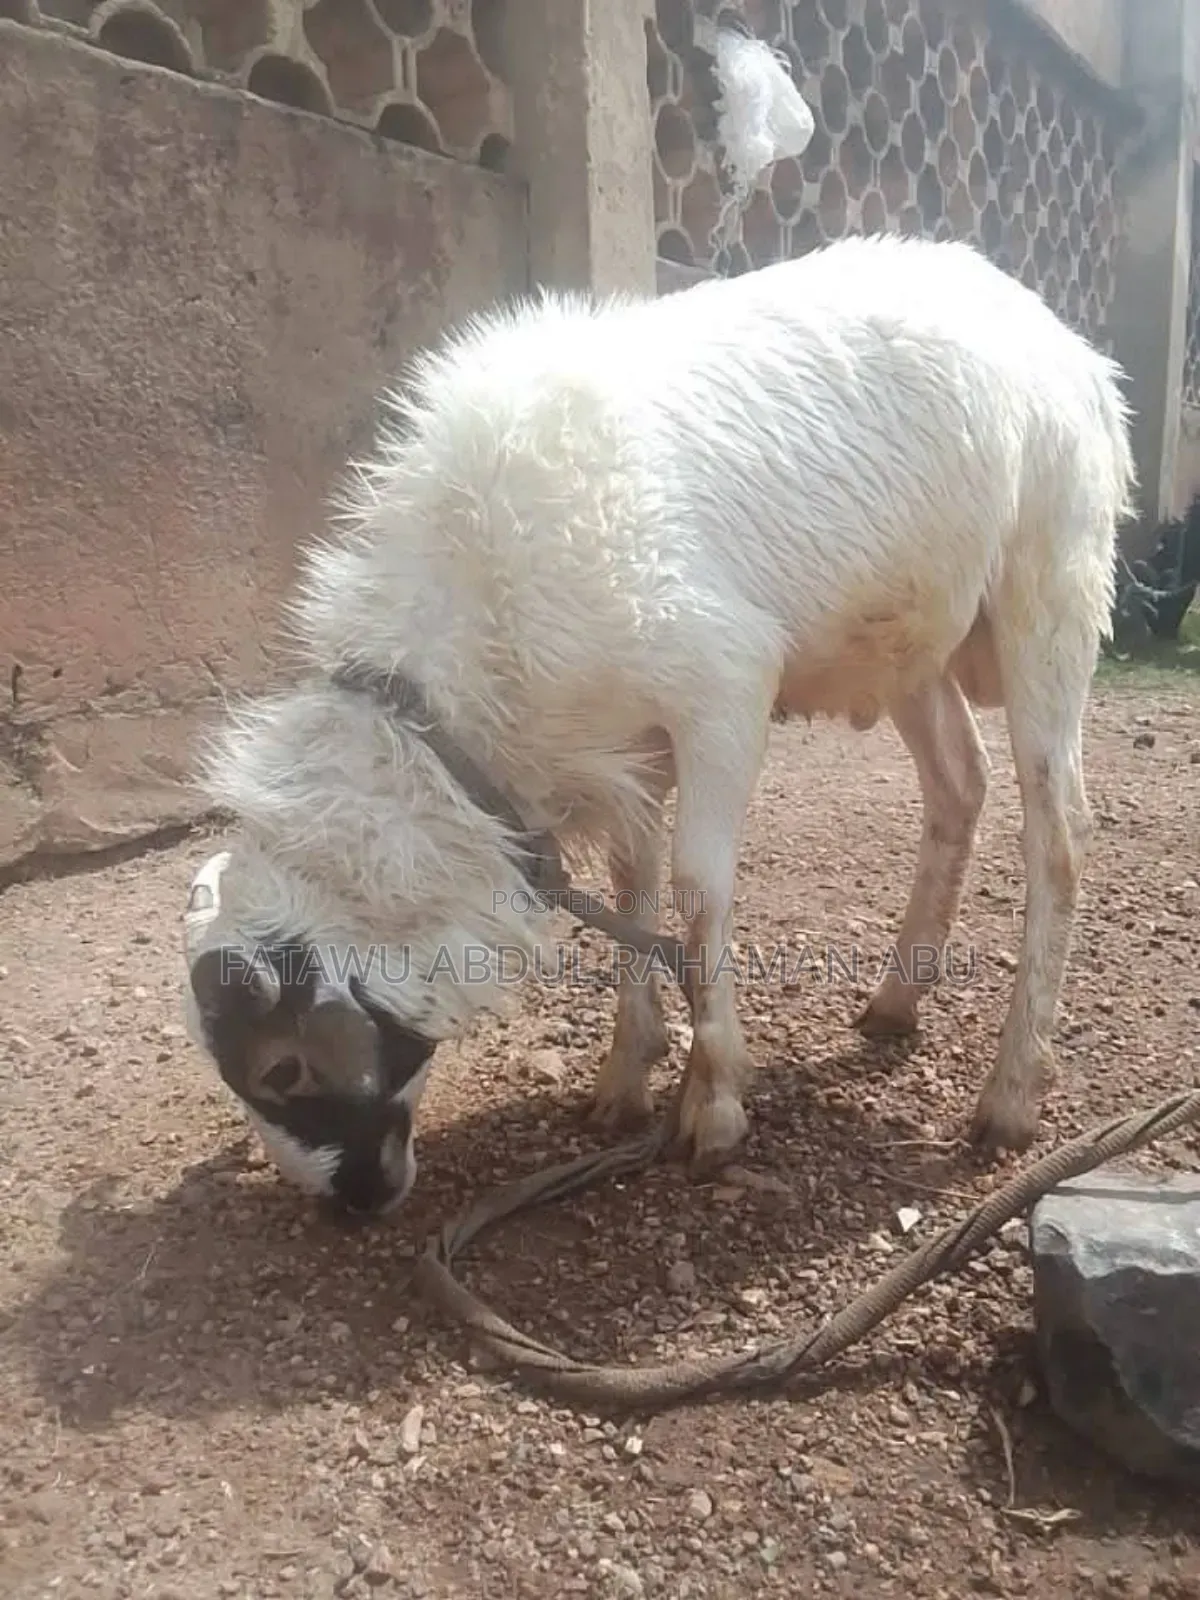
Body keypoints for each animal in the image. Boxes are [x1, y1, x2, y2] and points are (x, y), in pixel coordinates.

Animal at [185, 232, 1136, 1216]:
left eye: (283, 1070)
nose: (353, 1209)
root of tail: (1074, 348)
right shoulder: (627, 741)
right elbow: (632, 880)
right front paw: (628, 1079)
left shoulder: (724, 685)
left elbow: (695, 892)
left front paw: (714, 1109)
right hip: (914, 635)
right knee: (959, 785)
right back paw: (895, 1002)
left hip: (1049, 585)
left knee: (1060, 833)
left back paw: (1011, 1095)